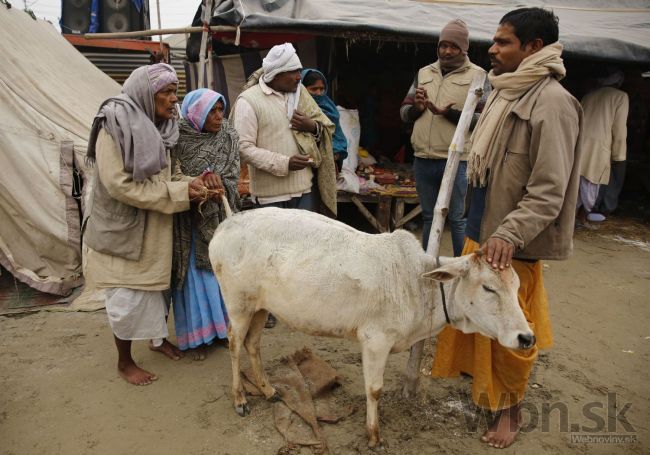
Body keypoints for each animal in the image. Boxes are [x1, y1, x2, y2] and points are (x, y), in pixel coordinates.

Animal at [210, 208, 536, 450]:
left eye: (517, 287)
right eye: (488, 288)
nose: (526, 337)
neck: (416, 282)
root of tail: (227, 223)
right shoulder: (375, 341)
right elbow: (374, 390)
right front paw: (374, 437)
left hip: (260, 307)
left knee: (253, 344)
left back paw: (268, 390)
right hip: (238, 304)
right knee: (235, 344)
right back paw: (240, 399)